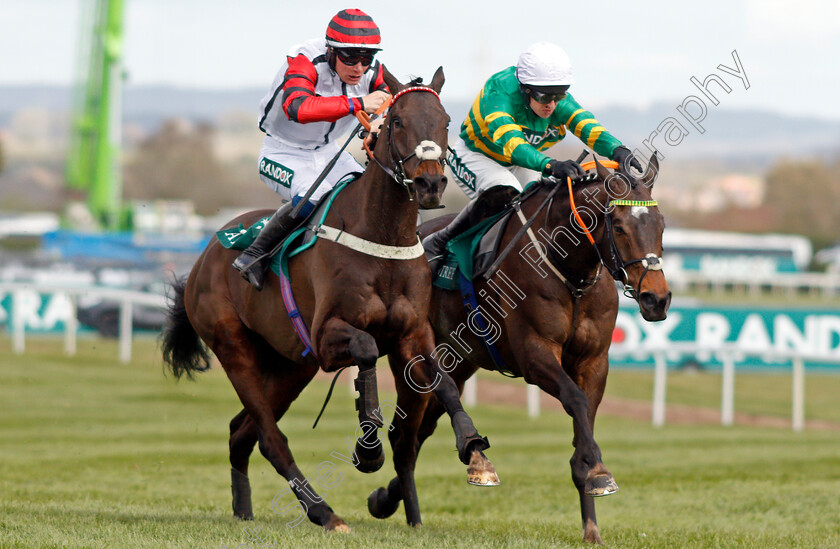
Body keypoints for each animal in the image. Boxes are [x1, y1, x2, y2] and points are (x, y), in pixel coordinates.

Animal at [161, 67, 496, 532]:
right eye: (397, 122)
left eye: (446, 122)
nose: (430, 182)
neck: (382, 237)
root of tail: (206, 254)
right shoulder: (326, 336)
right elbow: (367, 349)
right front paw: (368, 449)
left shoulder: (412, 334)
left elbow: (443, 382)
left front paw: (474, 450)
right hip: (235, 349)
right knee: (269, 437)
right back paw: (324, 512)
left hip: (291, 365)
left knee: (240, 432)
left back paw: (244, 510)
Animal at [370, 156, 672, 540]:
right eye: (618, 226)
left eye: (661, 224)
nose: (656, 299)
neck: (569, 270)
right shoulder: (535, 354)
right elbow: (574, 399)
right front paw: (600, 474)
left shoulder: (594, 362)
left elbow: (584, 419)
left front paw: (591, 520)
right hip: (414, 359)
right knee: (404, 440)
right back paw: (416, 514)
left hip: (460, 363)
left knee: (420, 430)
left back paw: (390, 497)